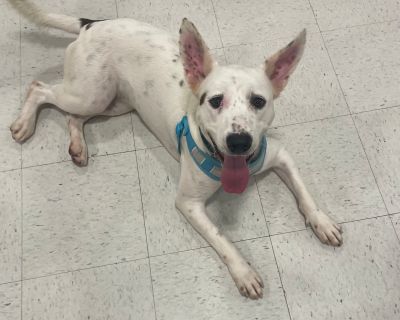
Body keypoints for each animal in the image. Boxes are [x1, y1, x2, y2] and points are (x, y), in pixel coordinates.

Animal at [8, 0, 344, 300]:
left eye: (258, 101)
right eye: (215, 101)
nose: (239, 141)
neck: (235, 163)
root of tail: (93, 23)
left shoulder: (280, 155)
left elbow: (304, 193)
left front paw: (323, 222)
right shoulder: (189, 203)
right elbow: (222, 239)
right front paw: (244, 272)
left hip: (112, 101)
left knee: (72, 116)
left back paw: (78, 145)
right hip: (89, 93)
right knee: (39, 88)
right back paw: (25, 123)